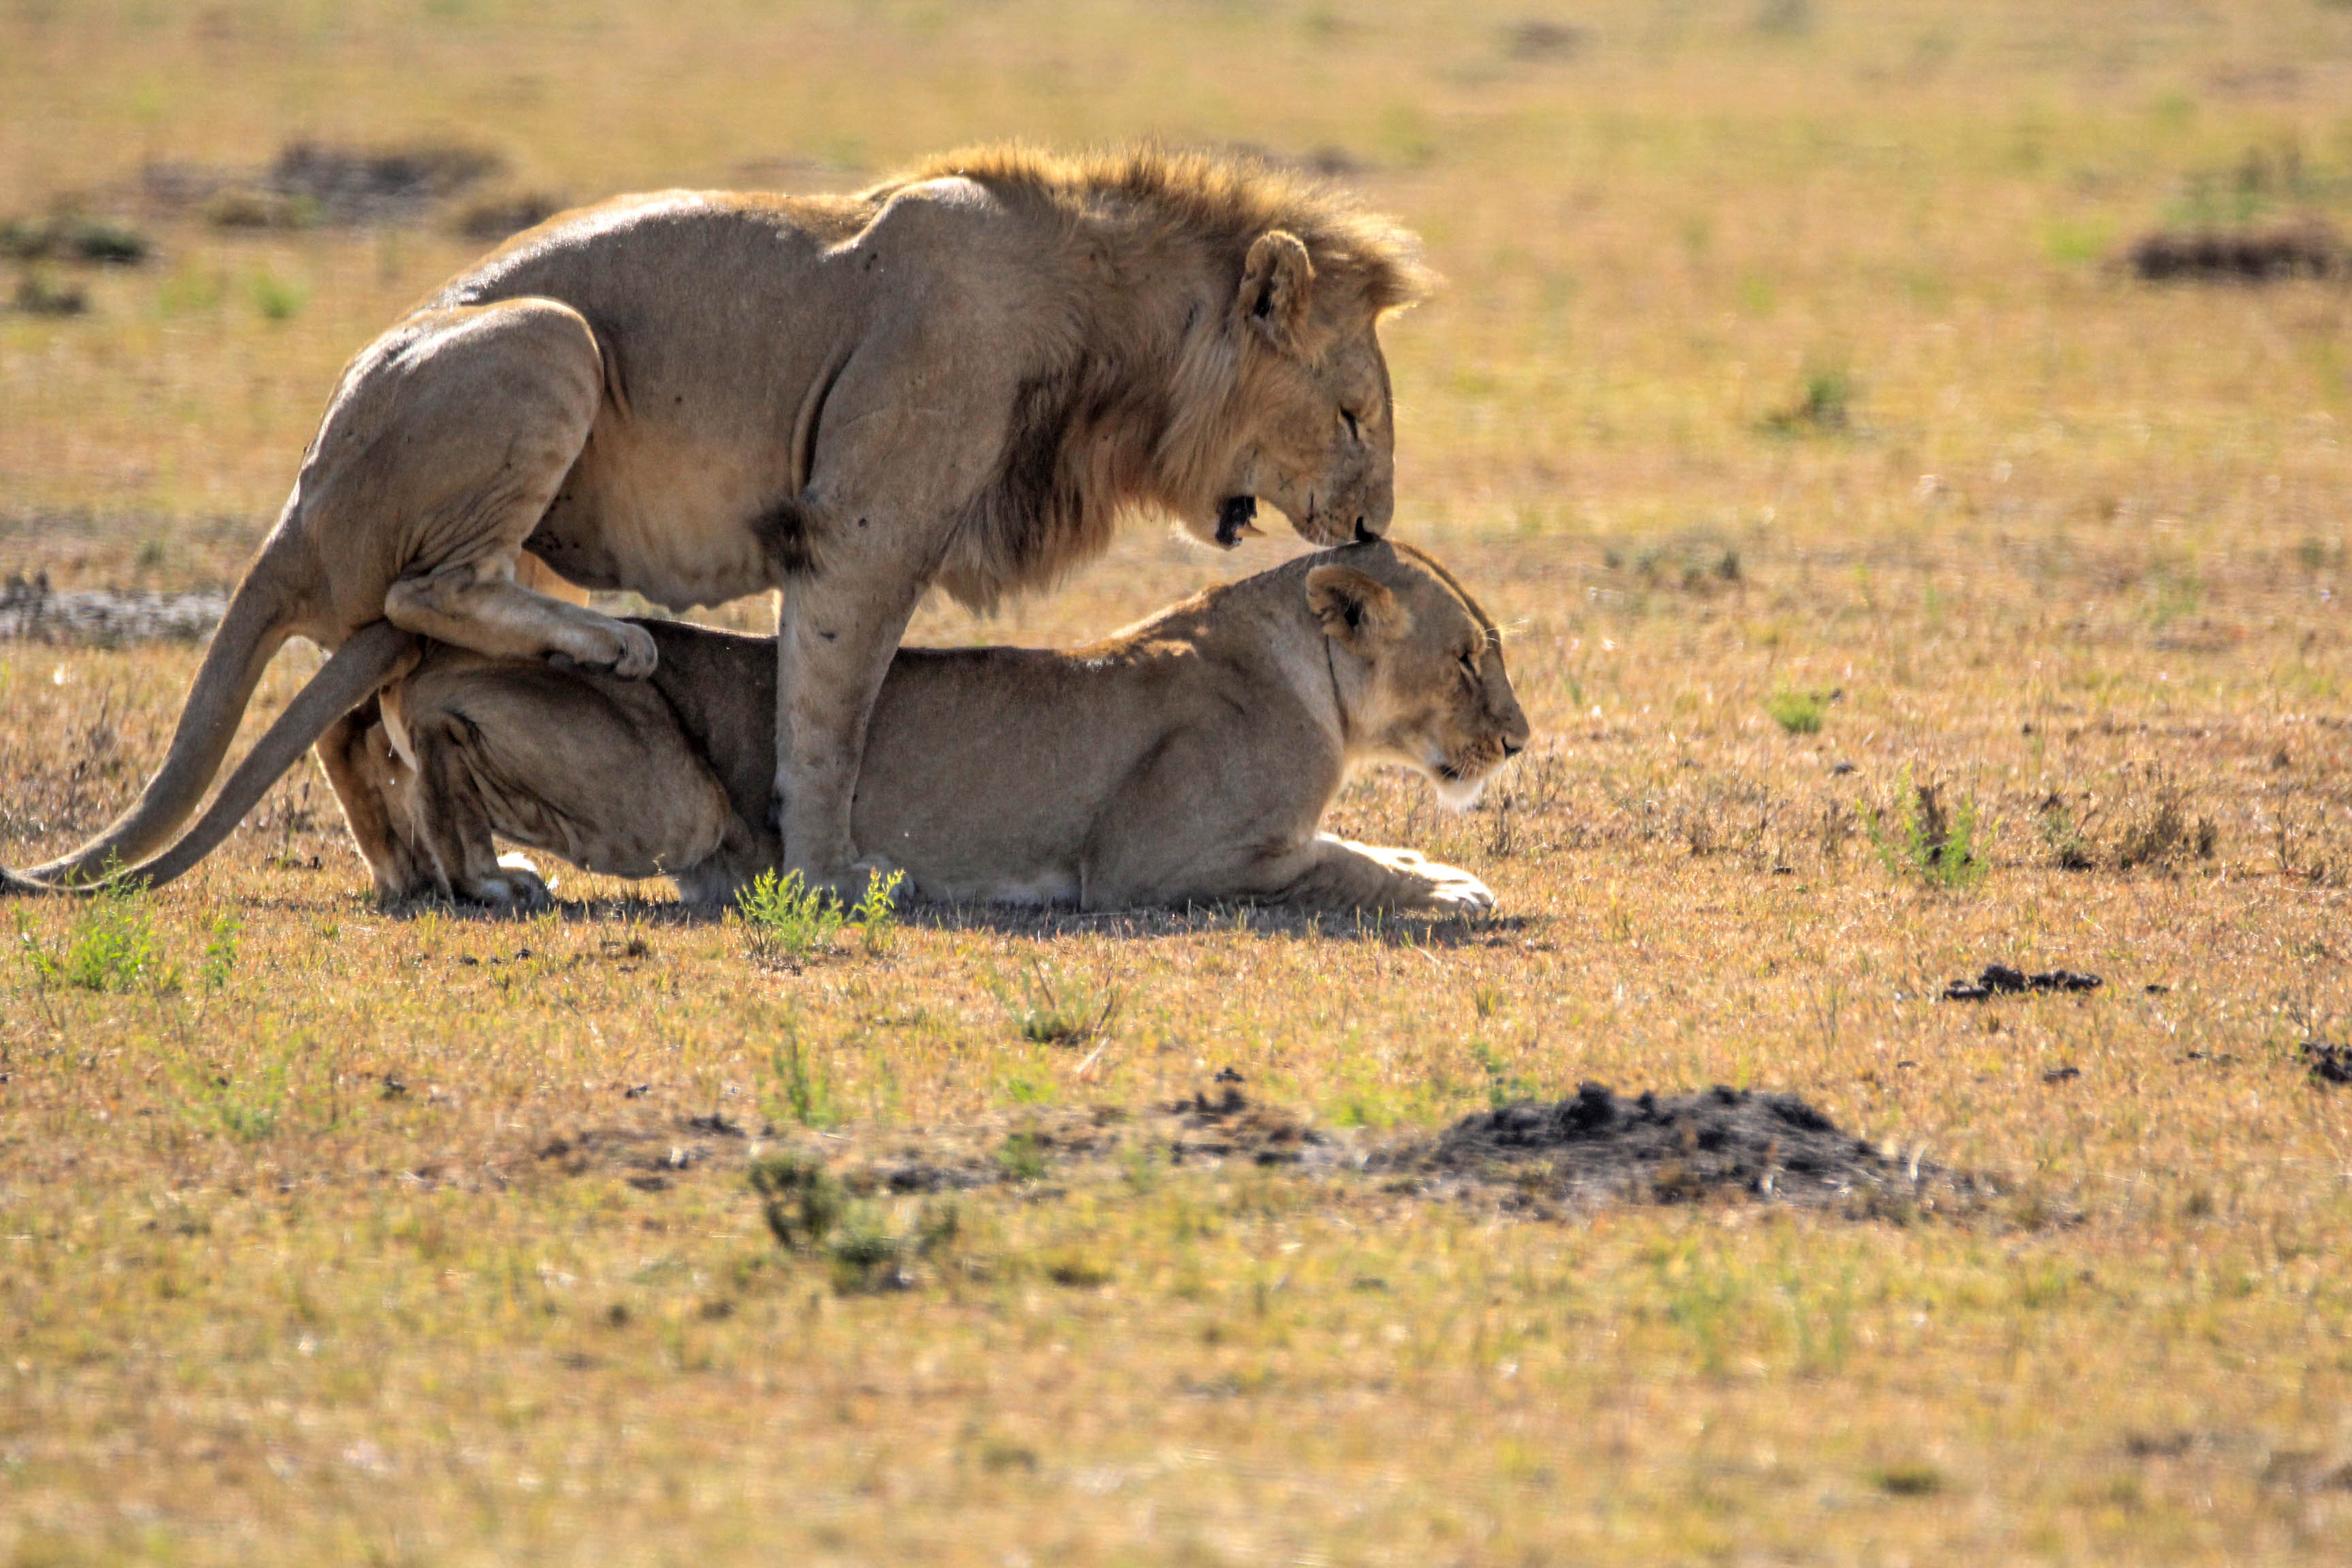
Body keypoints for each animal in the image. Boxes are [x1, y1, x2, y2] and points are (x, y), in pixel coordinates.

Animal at [322, 540, 1524, 912]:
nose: (1518, 740)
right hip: (670, 799)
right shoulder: (1153, 864)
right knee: (427, 730)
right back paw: (479, 874)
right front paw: (1447, 892)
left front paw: (1428, 861)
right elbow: (1335, 863)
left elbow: (1355, 843)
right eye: (1469, 657)